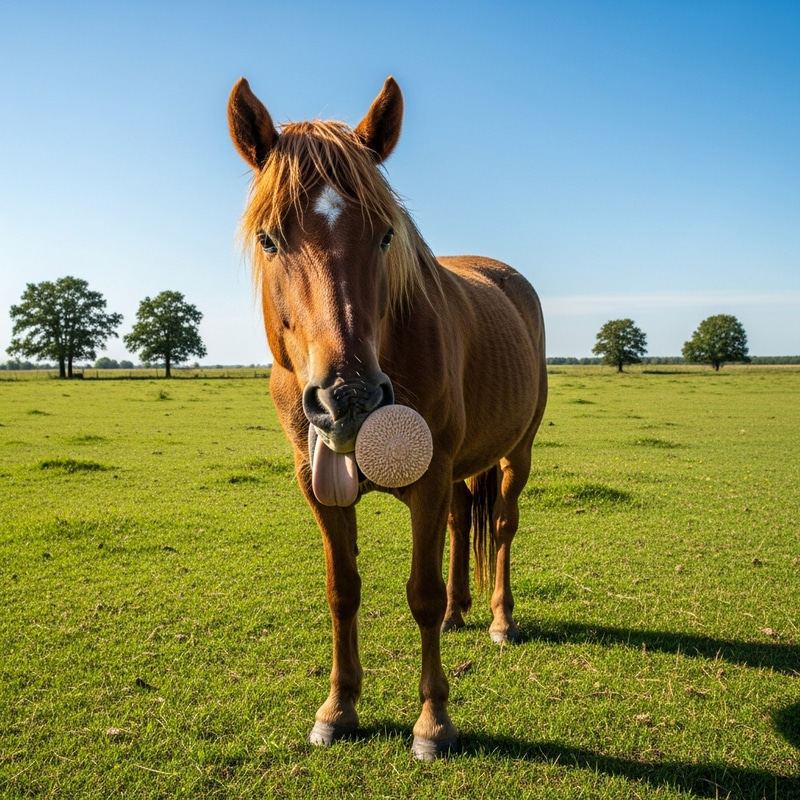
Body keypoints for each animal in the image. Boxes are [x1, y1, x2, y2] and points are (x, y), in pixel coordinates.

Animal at [227, 76, 547, 760]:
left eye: (384, 235)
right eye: (269, 238)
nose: (347, 398)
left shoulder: (428, 478)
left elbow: (419, 595)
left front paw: (433, 723)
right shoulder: (318, 486)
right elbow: (342, 590)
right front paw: (338, 708)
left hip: (517, 455)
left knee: (501, 527)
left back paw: (499, 620)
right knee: (463, 521)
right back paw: (459, 612)